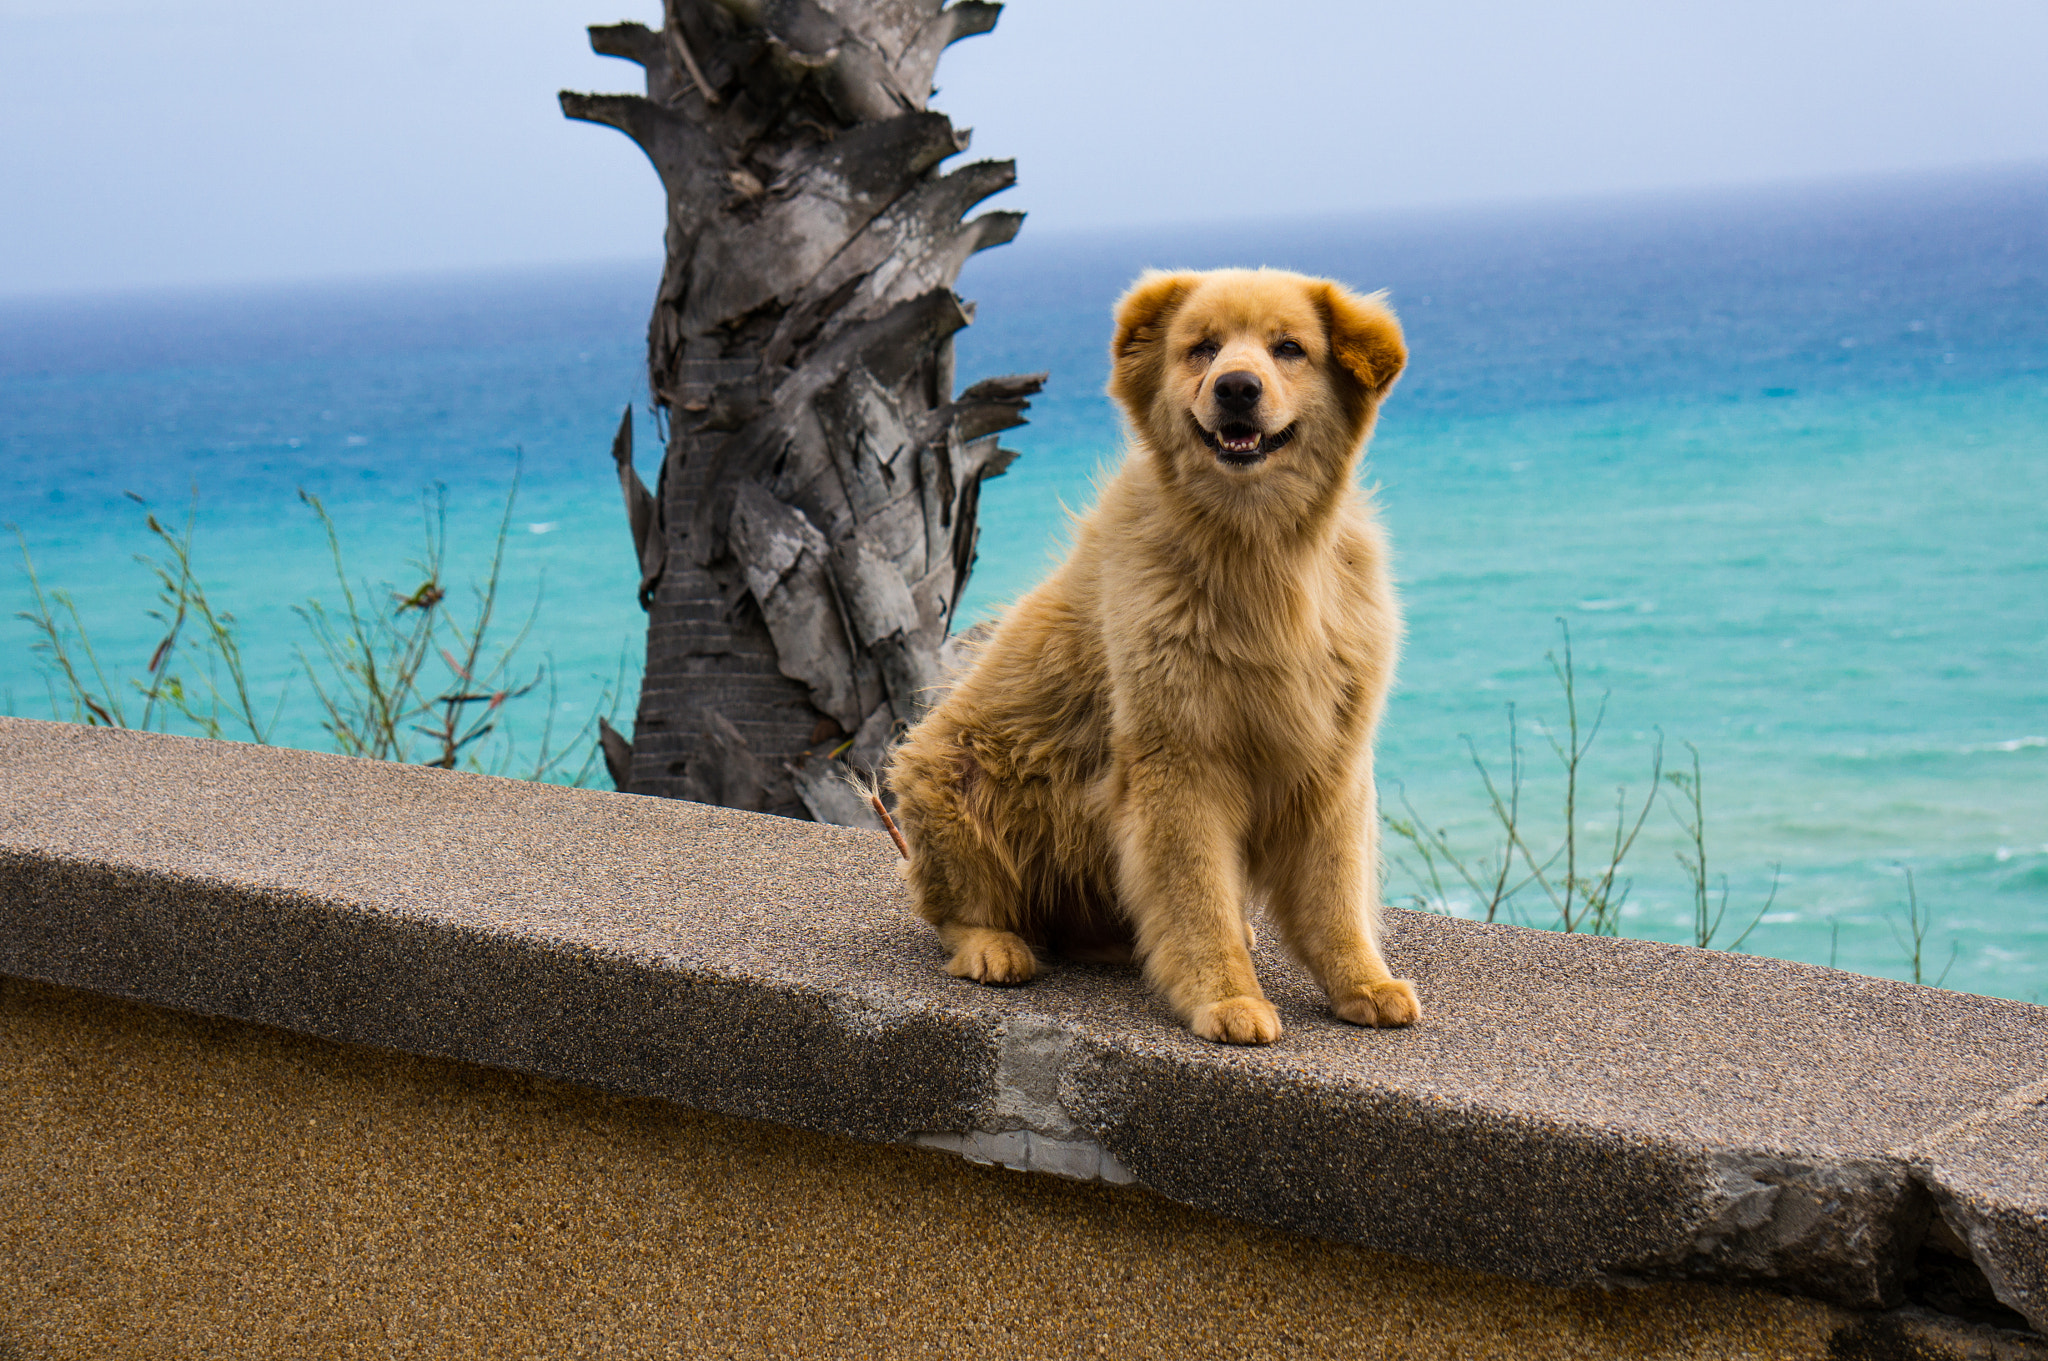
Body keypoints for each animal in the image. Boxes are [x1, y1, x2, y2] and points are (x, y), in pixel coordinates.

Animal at [880, 270, 1425, 1043]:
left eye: (1289, 348)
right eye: (1202, 348)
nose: (1236, 387)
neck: (1258, 552)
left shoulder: (1330, 756)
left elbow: (1335, 893)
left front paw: (1362, 981)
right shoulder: (1179, 759)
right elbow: (1197, 898)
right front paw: (1226, 997)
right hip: (955, 774)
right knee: (956, 910)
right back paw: (994, 946)